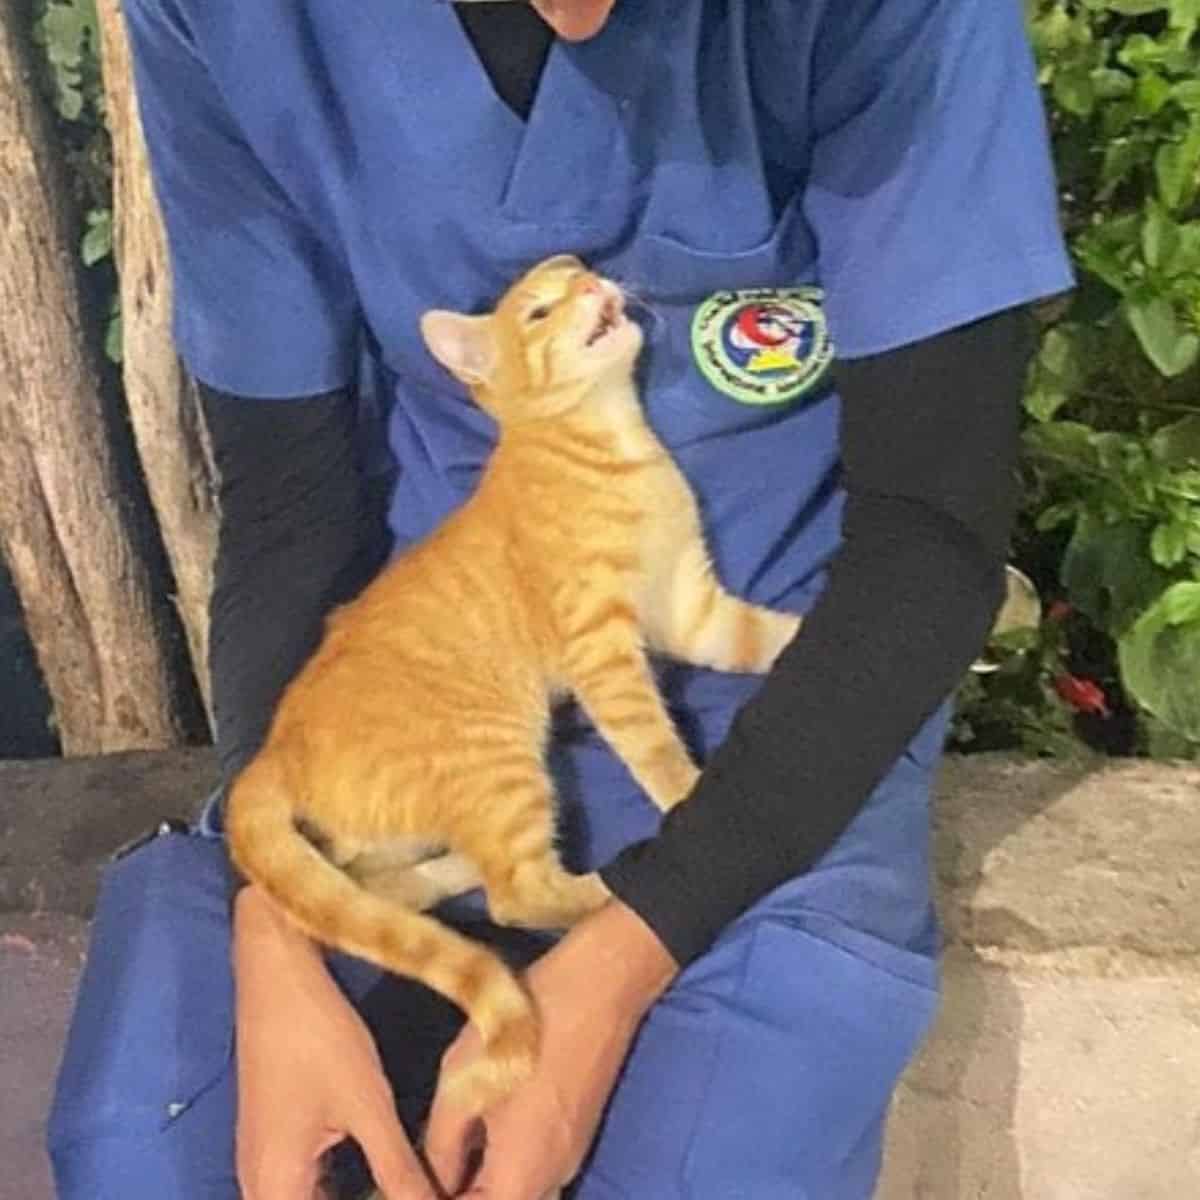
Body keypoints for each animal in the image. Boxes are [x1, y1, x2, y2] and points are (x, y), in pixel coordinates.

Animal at [225, 250, 806, 1113]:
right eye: (539, 311)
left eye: (584, 271)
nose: (595, 285)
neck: (609, 445)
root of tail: (276, 747)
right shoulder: (605, 650)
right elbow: (653, 746)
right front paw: (687, 795)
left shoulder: (689, 609)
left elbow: (768, 635)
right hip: (500, 763)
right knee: (517, 893)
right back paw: (610, 885)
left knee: (375, 885)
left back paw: (444, 877)